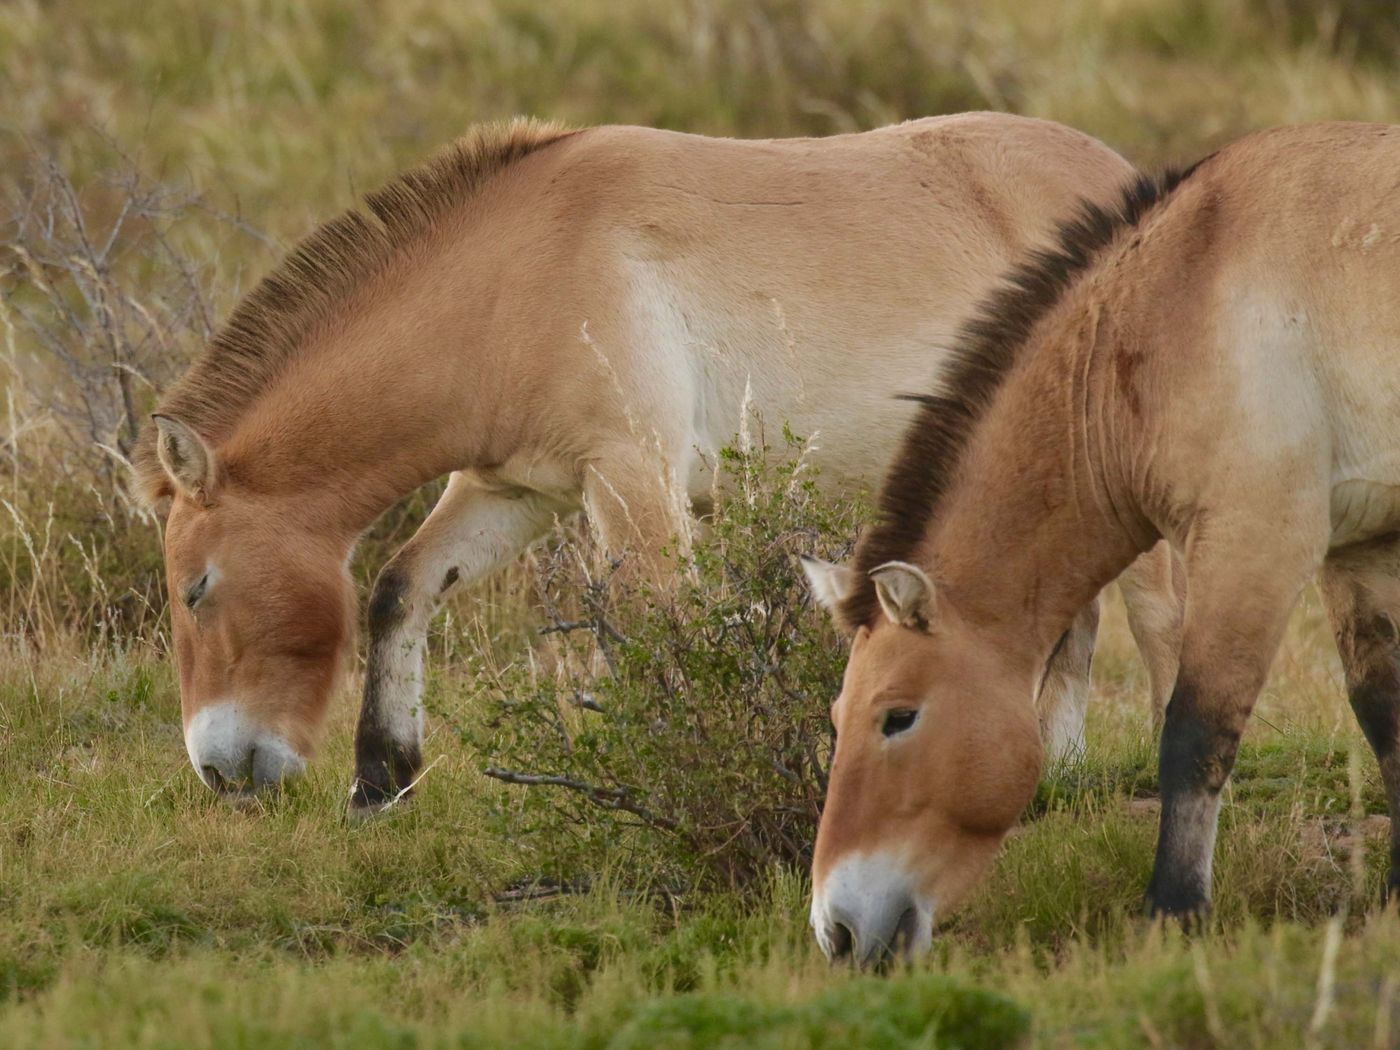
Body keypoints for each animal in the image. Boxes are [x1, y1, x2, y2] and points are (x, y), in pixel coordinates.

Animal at [133, 113, 1181, 806]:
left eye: (196, 588)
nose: (219, 770)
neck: (513, 276)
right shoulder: (515, 490)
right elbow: (401, 588)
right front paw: (382, 774)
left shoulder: (631, 481)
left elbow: (663, 635)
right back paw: (1050, 776)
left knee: (1161, 623)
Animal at [800, 119, 1400, 968]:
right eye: (836, 715)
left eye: (898, 716)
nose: (838, 930)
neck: (1181, 296)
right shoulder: (1363, 547)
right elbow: (1385, 714)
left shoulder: (1254, 546)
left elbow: (1195, 732)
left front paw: (1172, 913)